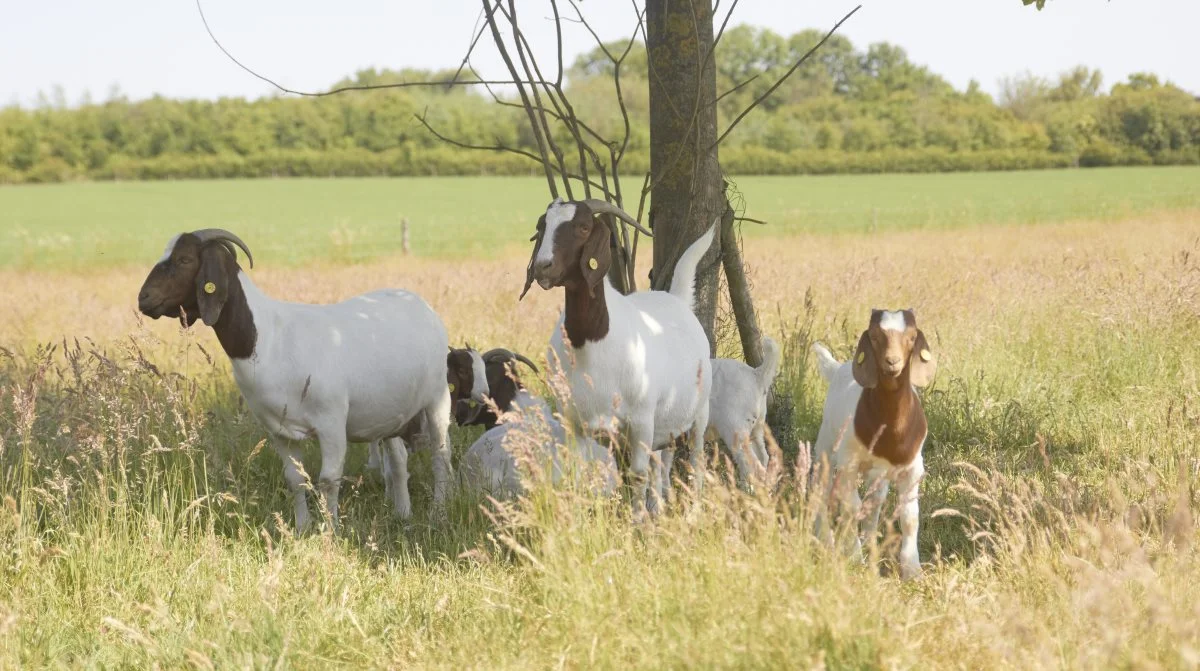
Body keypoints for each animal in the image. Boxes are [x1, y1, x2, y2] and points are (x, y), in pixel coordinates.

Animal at [137, 230, 453, 530]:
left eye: (184, 259)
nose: (143, 299)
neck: (269, 337)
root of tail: (422, 305)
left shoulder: (331, 422)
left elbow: (328, 479)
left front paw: (331, 531)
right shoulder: (279, 430)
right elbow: (295, 479)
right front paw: (303, 527)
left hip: (438, 397)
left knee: (441, 455)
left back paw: (438, 512)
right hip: (392, 414)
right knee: (398, 461)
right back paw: (402, 513)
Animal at [523, 196, 710, 516]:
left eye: (584, 227)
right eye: (541, 226)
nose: (542, 266)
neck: (592, 346)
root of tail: (677, 298)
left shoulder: (641, 420)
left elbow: (636, 474)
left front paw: (637, 521)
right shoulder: (574, 422)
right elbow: (580, 472)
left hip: (699, 411)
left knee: (695, 458)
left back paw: (693, 511)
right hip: (666, 423)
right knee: (662, 463)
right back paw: (659, 507)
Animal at [811, 307, 931, 580]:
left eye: (911, 337)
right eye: (875, 336)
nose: (892, 362)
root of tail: (839, 368)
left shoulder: (913, 468)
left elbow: (909, 516)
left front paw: (912, 569)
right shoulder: (848, 463)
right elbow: (850, 508)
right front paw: (855, 557)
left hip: (879, 473)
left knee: (874, 502)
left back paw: (869, 540)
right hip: (826, 447)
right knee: (822, 488)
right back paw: (825, 537)